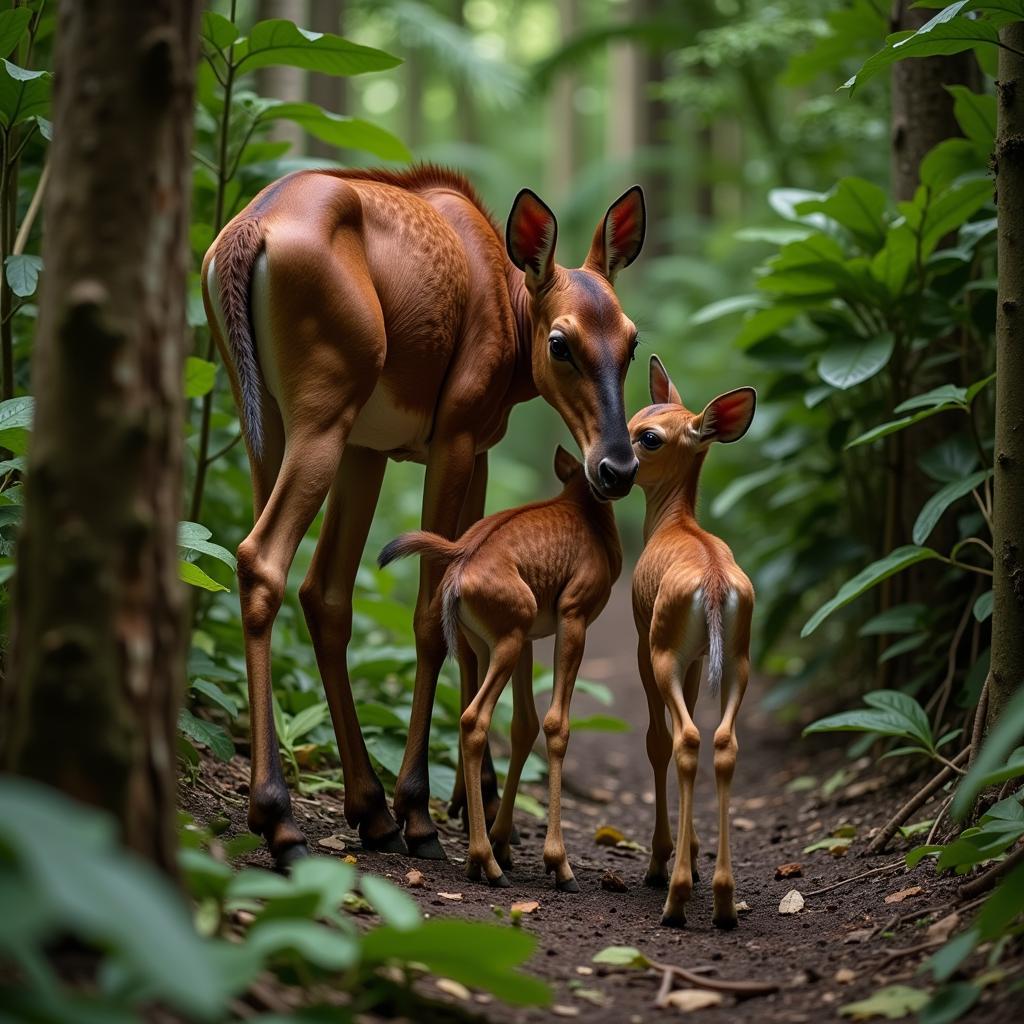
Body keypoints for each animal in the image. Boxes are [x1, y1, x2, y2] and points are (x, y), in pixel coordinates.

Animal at [376, 448, 614, 888]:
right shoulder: (573, 620)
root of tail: (460, 557)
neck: (579, 507)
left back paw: (480, 855)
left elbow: (525, 726)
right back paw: (484, 861)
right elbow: (556, 725)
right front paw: (557, 862)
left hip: (493, 644)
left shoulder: (530, 639)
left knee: (478, 717)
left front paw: (504, 839)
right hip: (507, 644)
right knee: (474, 720)